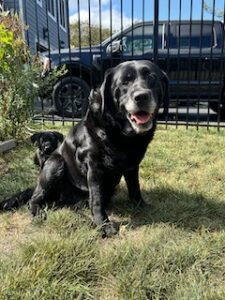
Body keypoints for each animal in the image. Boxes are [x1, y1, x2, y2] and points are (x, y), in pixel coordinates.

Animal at [27, 60, 169, 237]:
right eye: (125, 82)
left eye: (151, 77)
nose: (141, 96)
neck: (120, 134)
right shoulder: (94, 167)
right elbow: (96, 198)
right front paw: (103, 224)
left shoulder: (132, 166)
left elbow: (135, 187)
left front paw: (140, 205)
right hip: (55, 164)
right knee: (34, 199)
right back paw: (39, 211)